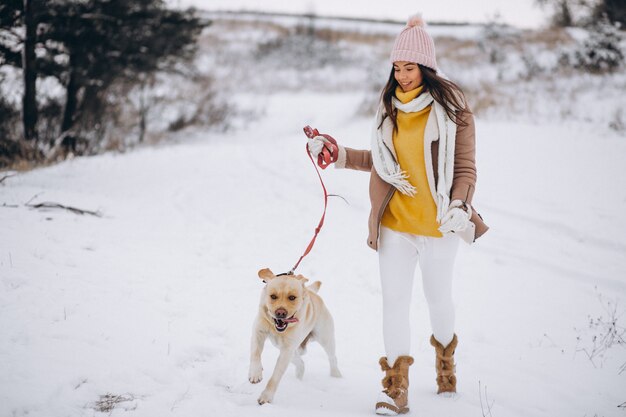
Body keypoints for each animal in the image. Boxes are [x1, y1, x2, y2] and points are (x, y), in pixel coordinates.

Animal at [247, 266, 342, 404]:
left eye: (292, 297)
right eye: (273, 296)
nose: (280, 312)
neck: (277, 328)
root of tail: (312, 291)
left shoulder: (287, 350)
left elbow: (276, 376)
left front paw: (266, 396)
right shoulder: (258, 332)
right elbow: (255, 354)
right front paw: (255, 373)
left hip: (325, 339)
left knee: (332, 358)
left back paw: (336, 375)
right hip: (288, 350)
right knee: (301, 363)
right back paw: (298, 377)